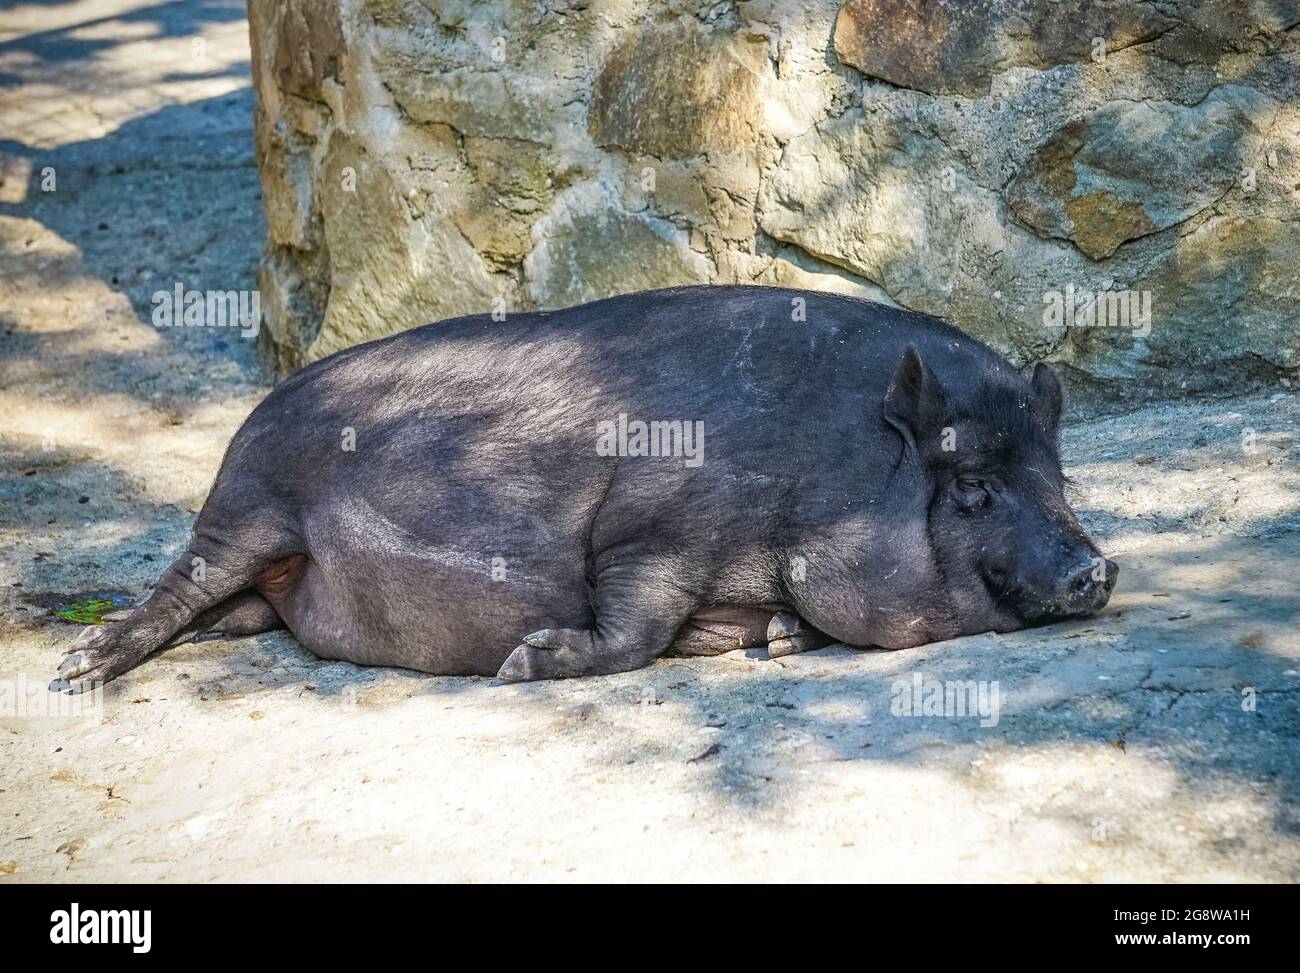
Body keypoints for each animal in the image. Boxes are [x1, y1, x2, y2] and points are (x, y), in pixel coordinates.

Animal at [51, 285, 1116, 691]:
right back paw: (77, 671)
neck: (828, 470)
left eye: (1056, 473)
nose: (1098, 569)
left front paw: (777, 636)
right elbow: (635, 627)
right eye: (971, 483)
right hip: (246, 503)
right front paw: (524, 661)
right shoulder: (650, 529)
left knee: (227, 612)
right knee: (177, 585)